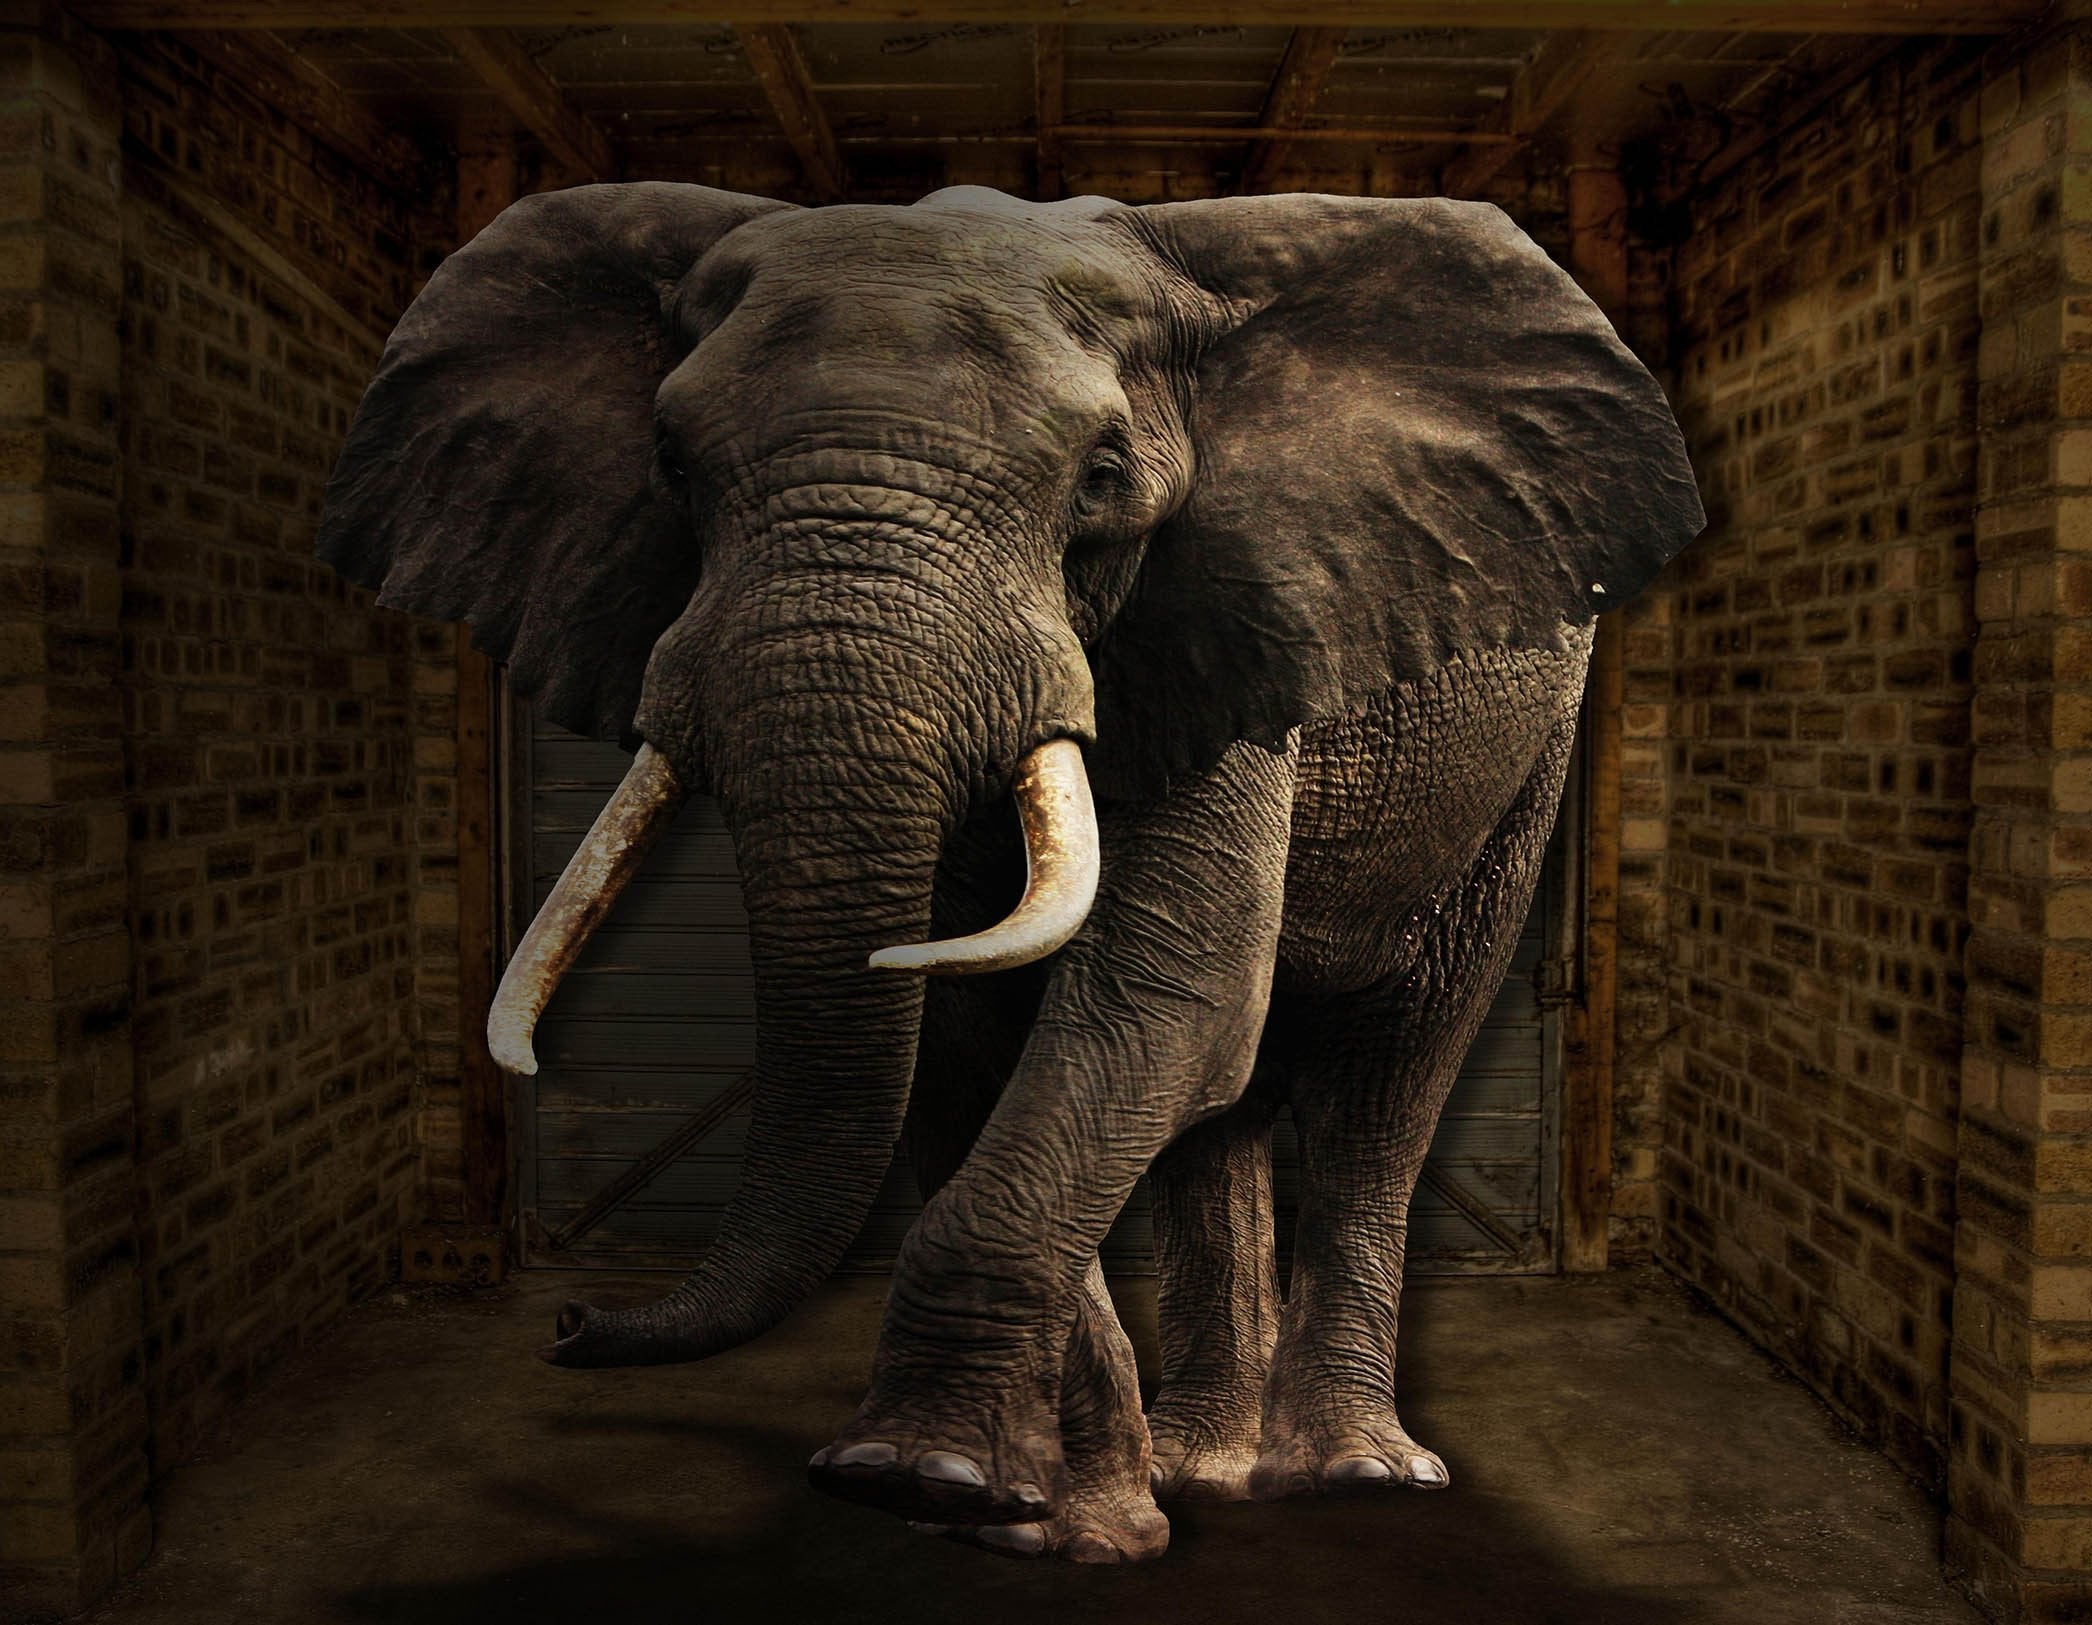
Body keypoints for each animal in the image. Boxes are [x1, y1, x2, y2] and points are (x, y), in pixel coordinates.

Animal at [315, 182, 1703, 1564]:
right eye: (670, 468)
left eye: (1100, 479)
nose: (568, 1324)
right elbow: (984, 1039)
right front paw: (1038, 1518)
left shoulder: (1220, 629)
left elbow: (1163, 1000)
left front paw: (919, 1476)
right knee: (1225, 1111)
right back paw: (1203, 1468)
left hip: (1523, 757)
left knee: (1390, 1064)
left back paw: (1356, 1472)